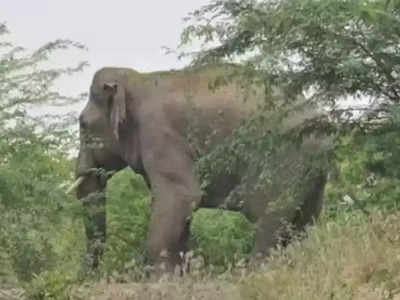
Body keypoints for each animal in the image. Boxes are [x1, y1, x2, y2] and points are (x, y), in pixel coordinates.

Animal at [72, 64, 332, 270]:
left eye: (83, 124)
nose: (90, 275)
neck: (136, 80)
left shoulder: (161, 136)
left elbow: (181, 196)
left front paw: (161, 279)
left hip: (283, 157)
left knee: (269, 219)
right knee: (302, 224)